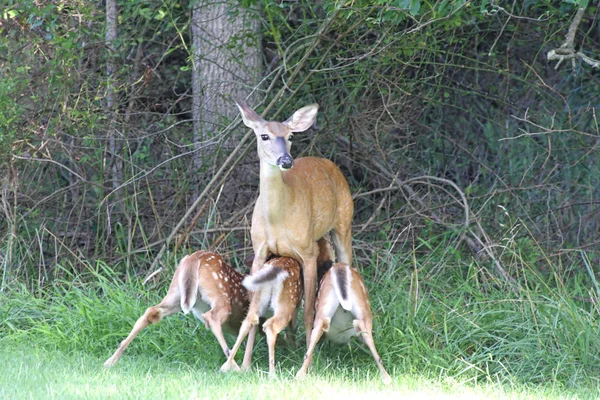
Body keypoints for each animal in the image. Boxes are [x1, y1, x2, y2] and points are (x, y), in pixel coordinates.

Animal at [104, 250, 252, 368]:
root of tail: (196, 256)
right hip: (220, 296)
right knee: (212, 317)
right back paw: (232, 366)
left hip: (175, 292)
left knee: (152, 312)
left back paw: (110, 361)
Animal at [237, 101, 354, 344]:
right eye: (264, 136)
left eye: (290, 136)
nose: (286, 160)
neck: (277, 220)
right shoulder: (259, 249)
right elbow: (254, 309)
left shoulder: (307, 251)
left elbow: (309, 311)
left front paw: (310, 350)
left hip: (344, 221)